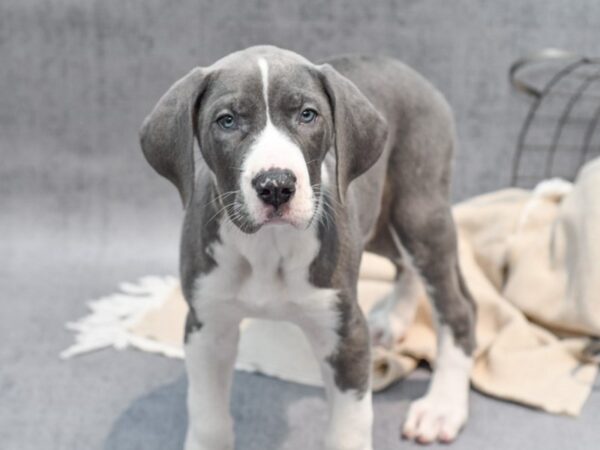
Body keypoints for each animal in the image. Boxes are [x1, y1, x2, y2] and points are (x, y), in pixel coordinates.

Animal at [141, 46, 478, 450]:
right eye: (227, 121)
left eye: (307, 115)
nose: (275, 185)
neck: (268, 247)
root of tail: (407, 70)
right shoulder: (207, 324)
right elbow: (207, 415)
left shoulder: (345, 332)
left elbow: (348, 428)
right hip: (380, 222)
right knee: (406, 265)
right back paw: (394, 319)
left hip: (419, 208)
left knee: (457, 308)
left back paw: (442, 406)